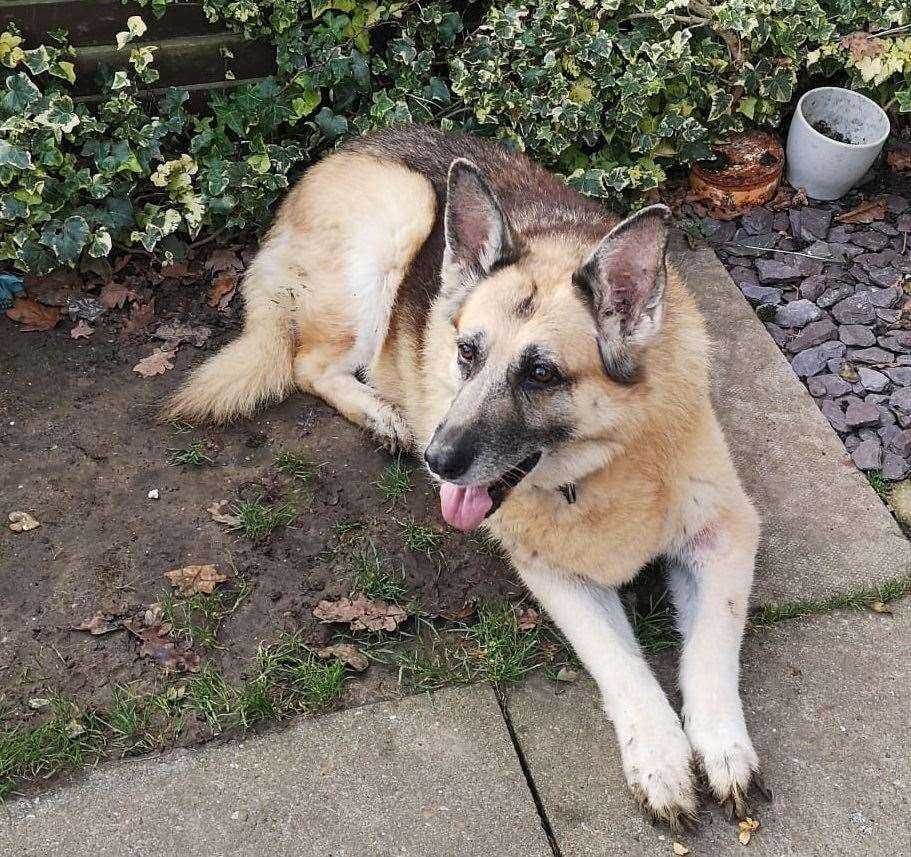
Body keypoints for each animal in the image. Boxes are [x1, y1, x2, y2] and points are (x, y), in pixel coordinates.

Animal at [166, 123, 768, 824]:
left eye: (541, 374)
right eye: (466, 353)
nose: (439, 462)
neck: (601, 467)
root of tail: (349, 147)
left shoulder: (725, 534)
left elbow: (712, 649)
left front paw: (721, 747)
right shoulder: (554, 574)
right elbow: (622, 665)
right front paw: (661, 757)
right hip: (399, 212)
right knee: (308, 364)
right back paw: (384, 415)